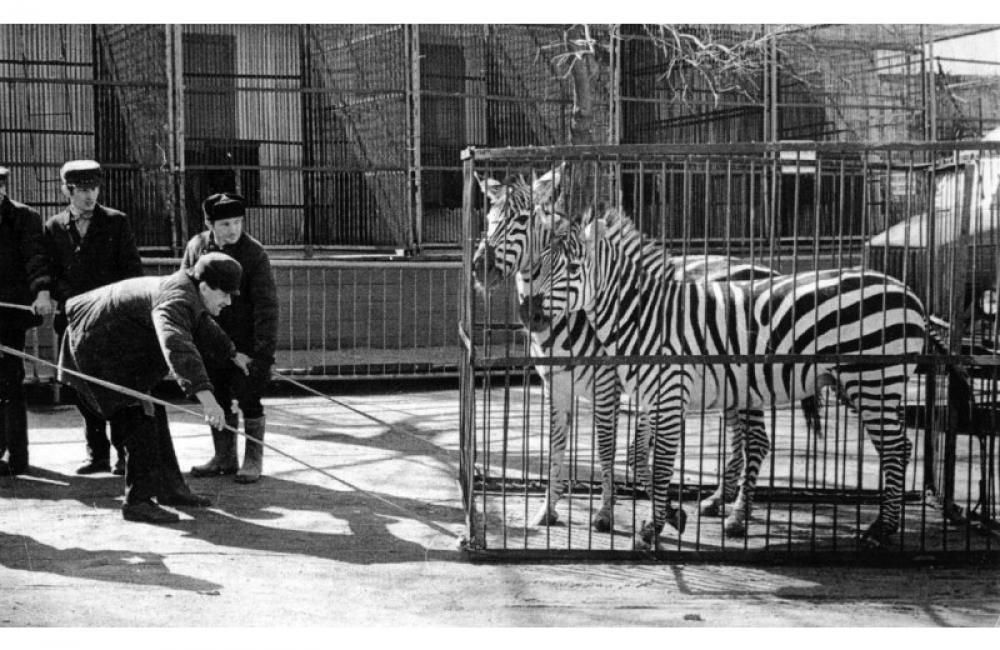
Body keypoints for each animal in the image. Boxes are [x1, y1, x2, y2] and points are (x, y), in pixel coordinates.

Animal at [468, 167, 804, 532]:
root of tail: (770, 270)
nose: (480, 267)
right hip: (731, 385)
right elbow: (556, 448)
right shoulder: (555, 387)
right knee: (739, 438)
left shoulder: (608, 386)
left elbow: (608, 447)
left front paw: (605, 514)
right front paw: (548, 510)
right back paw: (718, 500)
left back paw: (739, 515)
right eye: (487, 219)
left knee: (756, 441)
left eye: (522, 219)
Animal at [520, 210, 932, 544]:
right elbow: (637, 458)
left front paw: (653, 528)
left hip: (874, 381)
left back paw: (880, 530)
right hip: (872, 386)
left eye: (573, 270)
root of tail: (908, 291)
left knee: (894, 448)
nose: (530, 316)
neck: (645, 315)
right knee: (900, 447)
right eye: (537, 266)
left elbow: (660, 461)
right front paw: (669, 515)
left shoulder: (667, 391)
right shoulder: (648, 396)